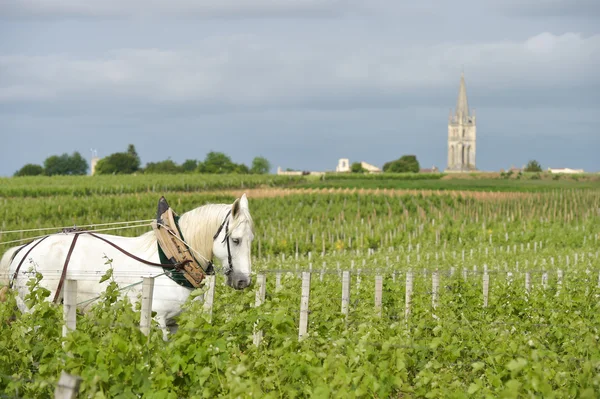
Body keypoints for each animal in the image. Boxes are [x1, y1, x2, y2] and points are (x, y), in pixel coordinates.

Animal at [0, 194, 254, 338]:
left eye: (251, 239)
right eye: (235, 240)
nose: (244, 281)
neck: (171, 260)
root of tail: (25, 249)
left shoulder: (174, 323)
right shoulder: (157, 319)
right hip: (34, 309)